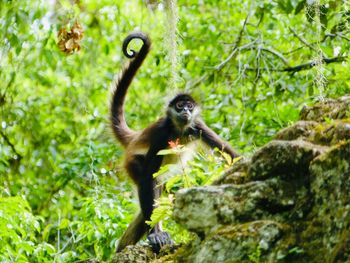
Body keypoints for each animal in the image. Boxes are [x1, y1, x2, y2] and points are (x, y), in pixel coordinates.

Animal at [112, 32, 241, 253]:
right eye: (180, 105)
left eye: (189, 106)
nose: (185, 111)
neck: (179, 129)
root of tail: (135, 137)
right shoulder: (162, 133)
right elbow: (148, 179)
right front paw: (155, 235)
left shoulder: (197, 125)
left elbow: (232, 156)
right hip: (133, 162)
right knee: (150, 184)